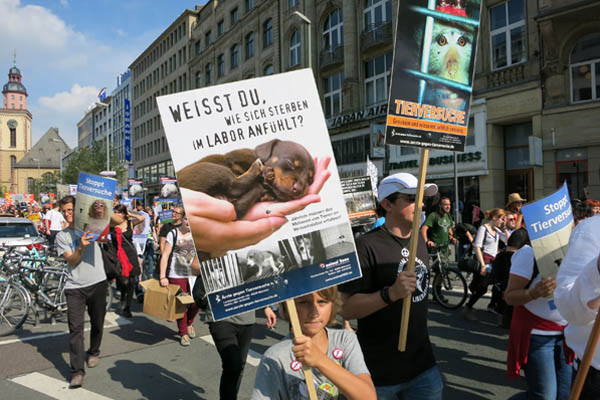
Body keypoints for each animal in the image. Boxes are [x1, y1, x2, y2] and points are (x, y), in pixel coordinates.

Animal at [176, 138, 314, 219]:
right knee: (234, 184)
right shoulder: (236, 158)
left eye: (310, 179)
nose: (299, 188)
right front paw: (265, 174)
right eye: (290, 163)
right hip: (211, 169)